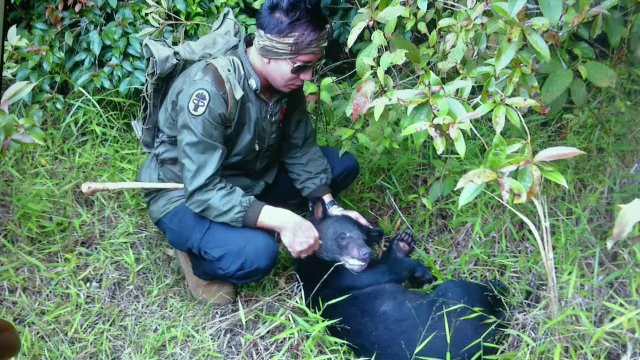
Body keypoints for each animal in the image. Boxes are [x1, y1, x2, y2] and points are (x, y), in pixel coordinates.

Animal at [294, 197, 510, 360]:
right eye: (343, 237)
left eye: (364, 239)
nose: (366, 254)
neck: (317, 263)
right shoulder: (337, 277)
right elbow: (384, 270)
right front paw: (417, 267)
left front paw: (403, 243)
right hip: (458, 299)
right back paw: (497, 286)